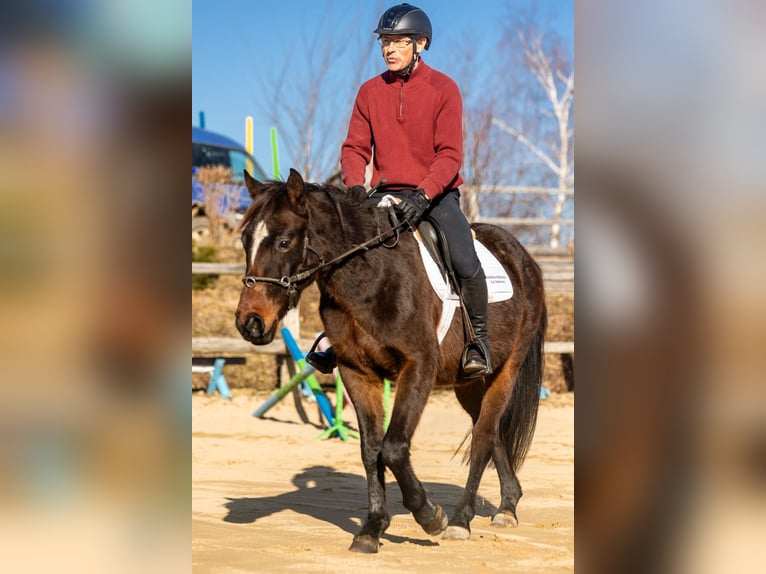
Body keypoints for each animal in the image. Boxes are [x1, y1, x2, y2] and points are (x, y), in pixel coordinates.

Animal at [234, 169, 544, 556]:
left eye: (284, 242)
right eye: (246, 239)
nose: (250, 323)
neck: (368, 276)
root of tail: (523, 258)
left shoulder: (419, 366)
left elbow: (394, 448)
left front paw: (429, 516)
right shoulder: (356, 372)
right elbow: (371, 450)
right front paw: (371, 529)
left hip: (505, 370)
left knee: (485, 437)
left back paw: (460, 521)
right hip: (468, 385)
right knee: (492, 434)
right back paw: (508, 505)